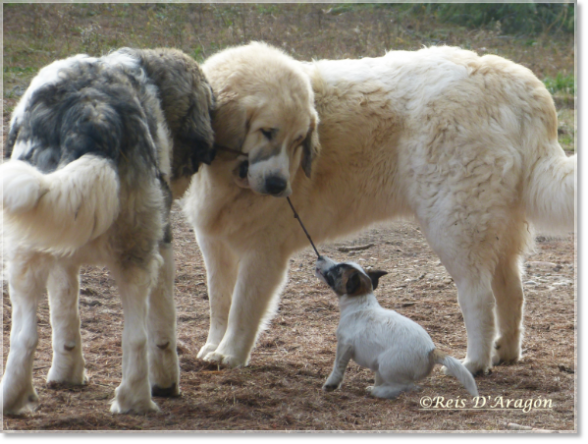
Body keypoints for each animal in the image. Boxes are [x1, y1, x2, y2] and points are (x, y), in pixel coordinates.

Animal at [0, 47, 216, 412]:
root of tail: (93, 114)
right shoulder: (163, 247)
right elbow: (162, 331)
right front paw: (166, 382)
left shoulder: (61, 252)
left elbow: (64, 320)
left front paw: (66, 376)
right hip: (136, 255)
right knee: (136, 335)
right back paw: (136, 400)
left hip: (26, 252)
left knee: (25, 335)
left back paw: (12, 399)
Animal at [186, 41, 576, 374]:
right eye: (267, 132)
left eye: (299, 140)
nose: (280, 187)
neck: (226, 176)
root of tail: (516, 83)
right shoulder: (214, 245)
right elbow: (219, 302)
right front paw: (211, 348)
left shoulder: (262, 252)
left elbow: (242, 308)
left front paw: (230, 355)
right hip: (496, 229)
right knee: (512, 290)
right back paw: (505, 352)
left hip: (455, 226)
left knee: (479, 297)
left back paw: (475, 362)